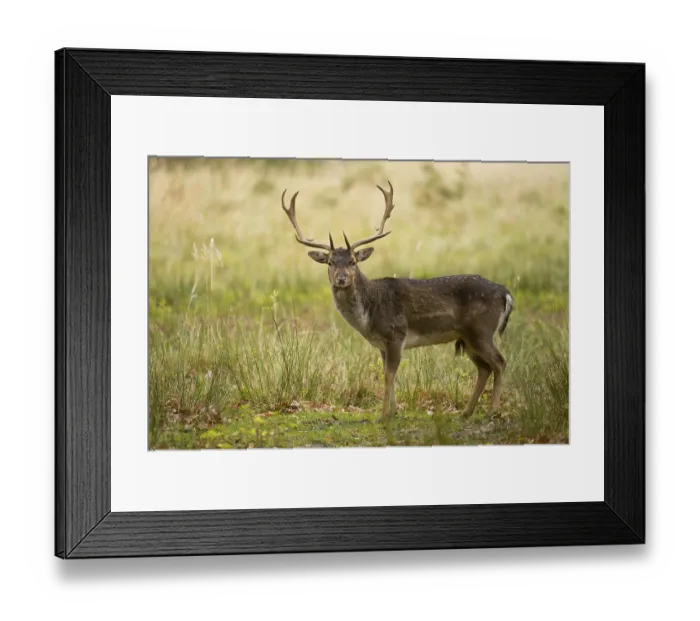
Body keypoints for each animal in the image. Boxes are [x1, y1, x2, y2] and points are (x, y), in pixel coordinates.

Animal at [281, 181, 514, 421]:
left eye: (353, 261)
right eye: (329, 262)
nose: (341, 279)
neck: (369, 315)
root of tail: (504, 292)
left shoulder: (396, 334)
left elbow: (388, 375)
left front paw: (383, 415)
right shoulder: (382, 344)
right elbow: (388, 374)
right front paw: (393, 411)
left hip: (481, 329)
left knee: (500, 362)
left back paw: (492, 411)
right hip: (467, 337)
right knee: (484, 368)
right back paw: (466, 413)